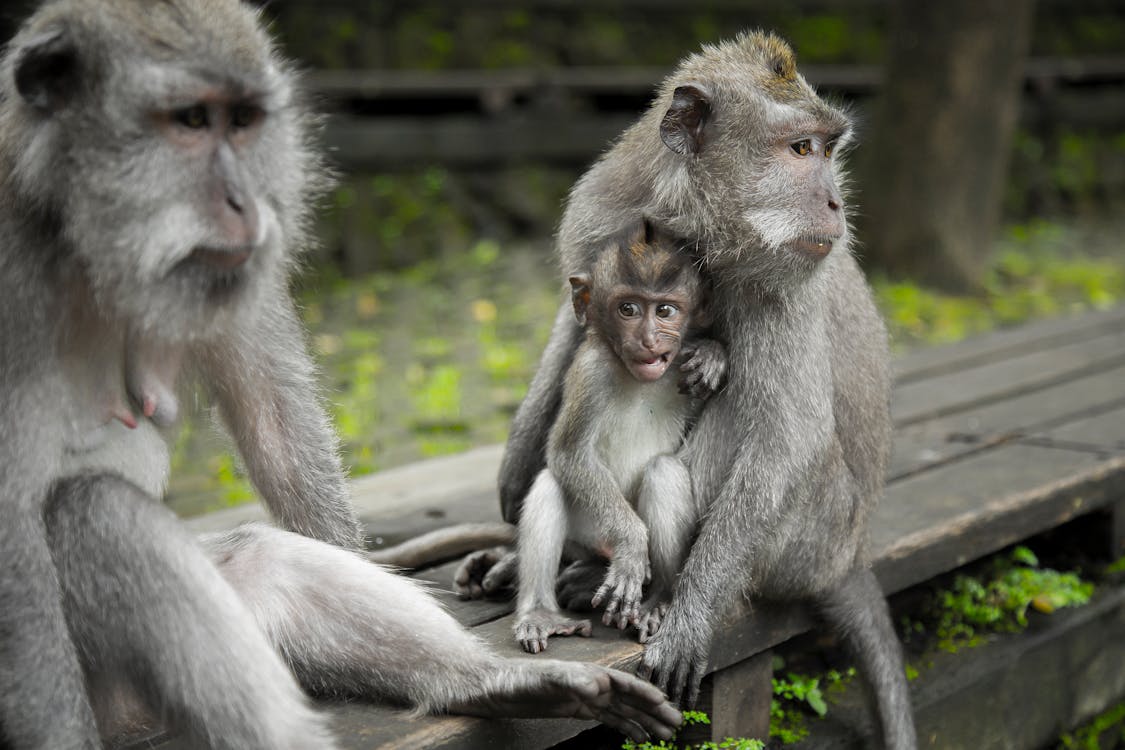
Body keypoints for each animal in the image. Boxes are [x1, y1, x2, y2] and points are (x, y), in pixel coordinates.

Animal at [0, 2, 679, 746]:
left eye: (243, 121)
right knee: (98, 512)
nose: (245, 202)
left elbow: (276, 430)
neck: (76, 230)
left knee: (256, 558)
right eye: (190, 120)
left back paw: (491, 683)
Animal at [515, 217, 724, 652]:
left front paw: (713, 355)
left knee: (664, 472)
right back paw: (541, 612)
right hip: (591, 531)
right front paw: (630, 547)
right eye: (628, 309)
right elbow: (569, 454)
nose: (648, 340)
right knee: (550, 485)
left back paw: (660, 598)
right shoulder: (591, 372)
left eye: (665, 310)